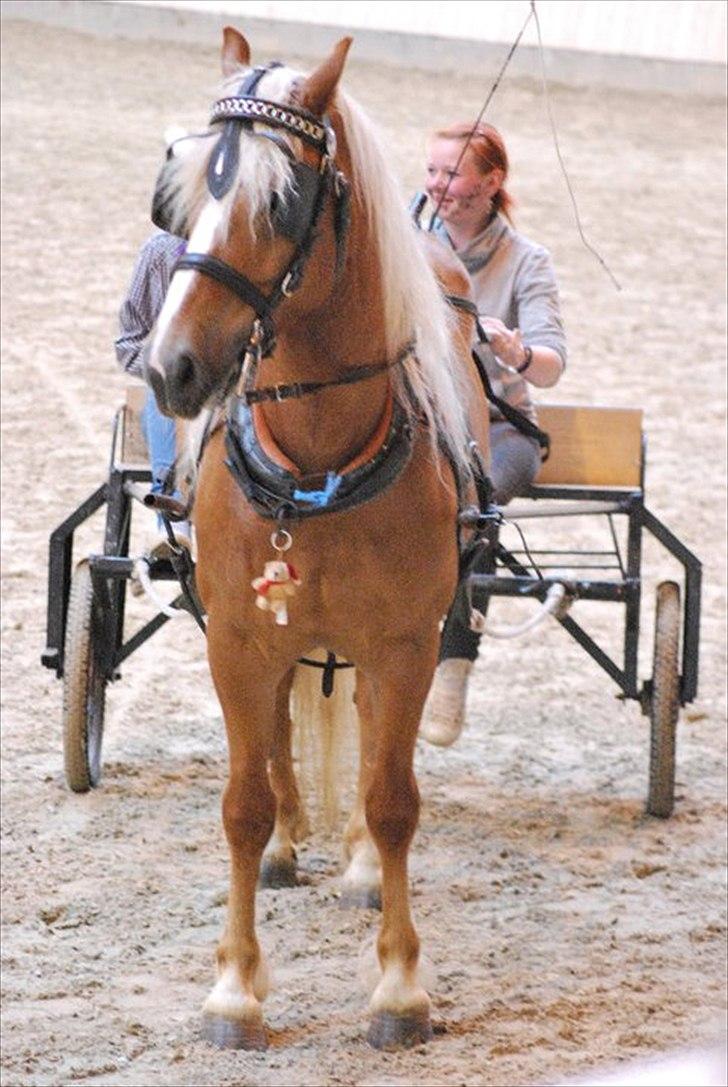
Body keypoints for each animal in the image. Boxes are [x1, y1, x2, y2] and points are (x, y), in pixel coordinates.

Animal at [146, 25, 491, 1047]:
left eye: (281, 197)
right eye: (183, 191)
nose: (171, 367)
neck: (317, 456)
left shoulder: (407, 641)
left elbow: (393, 796)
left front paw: (400, 985)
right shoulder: (238, 636)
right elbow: (242, 800)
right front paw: (235, 987)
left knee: (376, 744)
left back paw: (363, 867)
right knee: (276, 744)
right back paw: (291, 843)